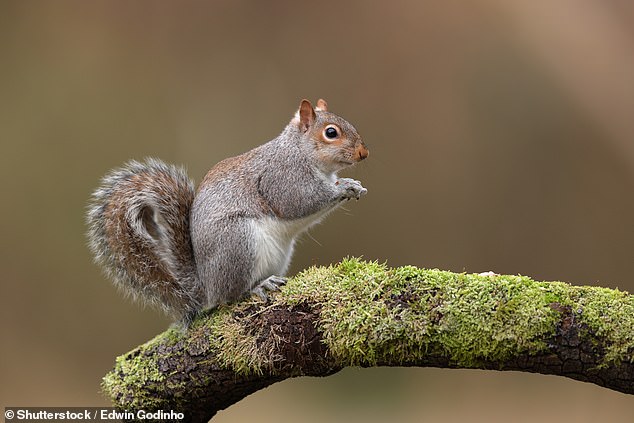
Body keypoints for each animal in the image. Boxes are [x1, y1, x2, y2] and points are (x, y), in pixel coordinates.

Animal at [86, 98, 368, 324]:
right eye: (331, 133)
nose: (364, 153)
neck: (299, 151)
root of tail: (206, 285)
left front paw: (353, 185)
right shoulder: (281, 177)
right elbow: (297, 202)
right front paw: (344, 187)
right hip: (238, 243)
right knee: (231, 295)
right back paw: (257, 286)